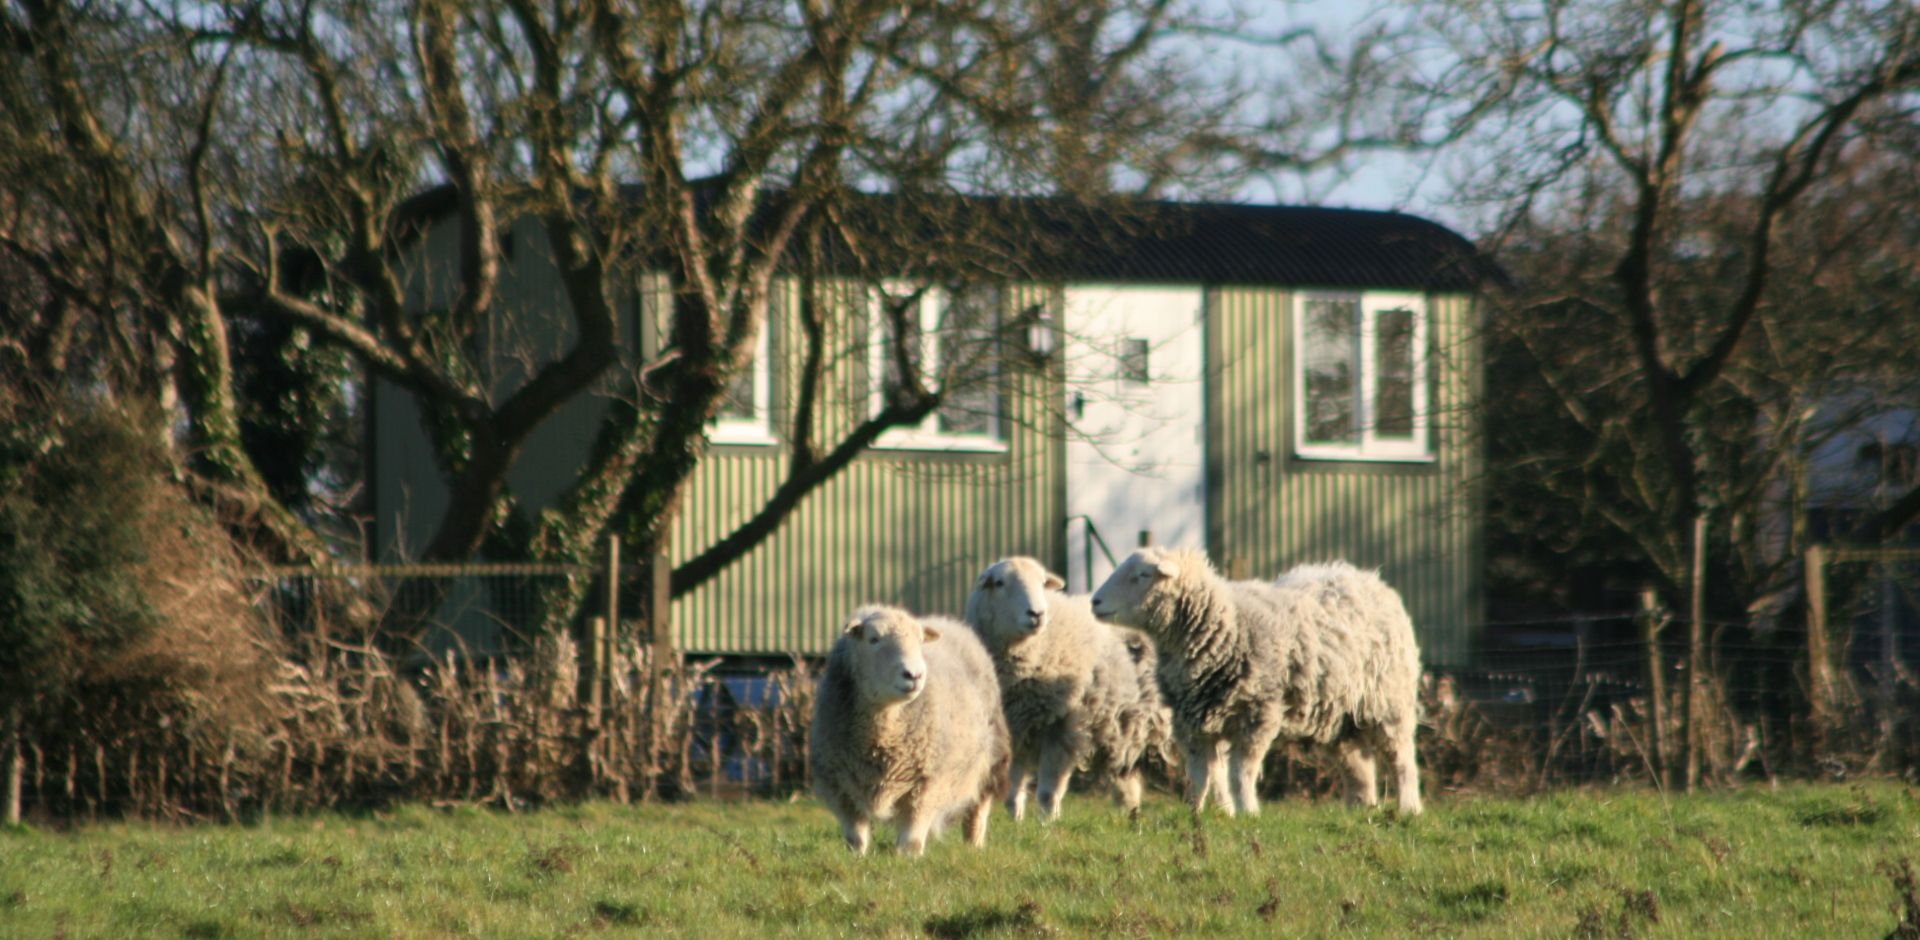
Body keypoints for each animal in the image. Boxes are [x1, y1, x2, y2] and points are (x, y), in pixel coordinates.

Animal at [806, 606, 1013, 855]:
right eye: (873, 639)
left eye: (920, 641)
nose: (914, 675)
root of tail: (949, 622)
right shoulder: (841, 788)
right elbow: (856, 838)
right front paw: (858, 857)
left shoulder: (926, 784)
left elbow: (912, 839)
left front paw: (907, 859)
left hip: (991, 759)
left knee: (978, 809)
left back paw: (974, 845)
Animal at [960, 556, 1167, 821]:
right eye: (999, 583)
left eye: (1042, 583)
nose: (1037, 614)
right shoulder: (1016, 728)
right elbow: (1012, 793)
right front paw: (1016, 821)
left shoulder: (1063, 728)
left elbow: (1048, 793)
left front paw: (1047, 824)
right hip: (1125, 726)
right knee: (1126, 781)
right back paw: (1129, 816)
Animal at [1090, 548, 1420, 817]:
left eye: (1142, 575)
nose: (1095, 601)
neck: (1226, 624)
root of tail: (1368, 578)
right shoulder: (1189, 722)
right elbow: (1198, 774)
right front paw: (1194, 813)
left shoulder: (1257, 714)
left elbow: (1240, 773)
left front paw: (1247, 811)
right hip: (1340, 714)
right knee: (1357, 764)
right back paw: (1359, 809)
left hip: (1389, 700)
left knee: (1402, 759)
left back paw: (1409, 809)